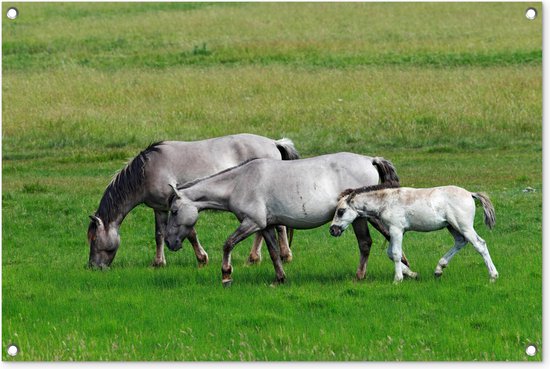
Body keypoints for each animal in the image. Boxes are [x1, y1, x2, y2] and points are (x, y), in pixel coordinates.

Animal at [88, 132, 300, 268]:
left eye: (94, 239)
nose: (92, 266)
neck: (147, 171)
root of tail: (274, 142)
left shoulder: (180, 205)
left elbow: (190, 233)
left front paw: (202, 258)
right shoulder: (160, 208)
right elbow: (159, 234)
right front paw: (158, 262)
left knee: (277, 227)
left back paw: (278, 256)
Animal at [164, 152, 410, 284]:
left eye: (174, 211)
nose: (170, 242)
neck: (239, 182)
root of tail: (370, 159)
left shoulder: (251, 223)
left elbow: (228, 244)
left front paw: (226, 274)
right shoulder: (265, 226)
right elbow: (274, 252)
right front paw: (280, 278)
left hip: (362, 217)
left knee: (372, 241)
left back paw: (371, 274)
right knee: (374, 241)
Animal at [330, 183, 502, 284]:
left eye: (341, 211)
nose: (332, 230)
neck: (386, 201)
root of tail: (470, 194)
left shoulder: (396, 230)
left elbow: (396, 254)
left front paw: (397, 279)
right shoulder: (395, 231)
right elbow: (391, 254)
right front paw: (412, 274)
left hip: (464, 226)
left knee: (480, 244)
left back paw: (493, 276)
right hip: (452, 227)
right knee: (461, 242)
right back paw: (439, 269)